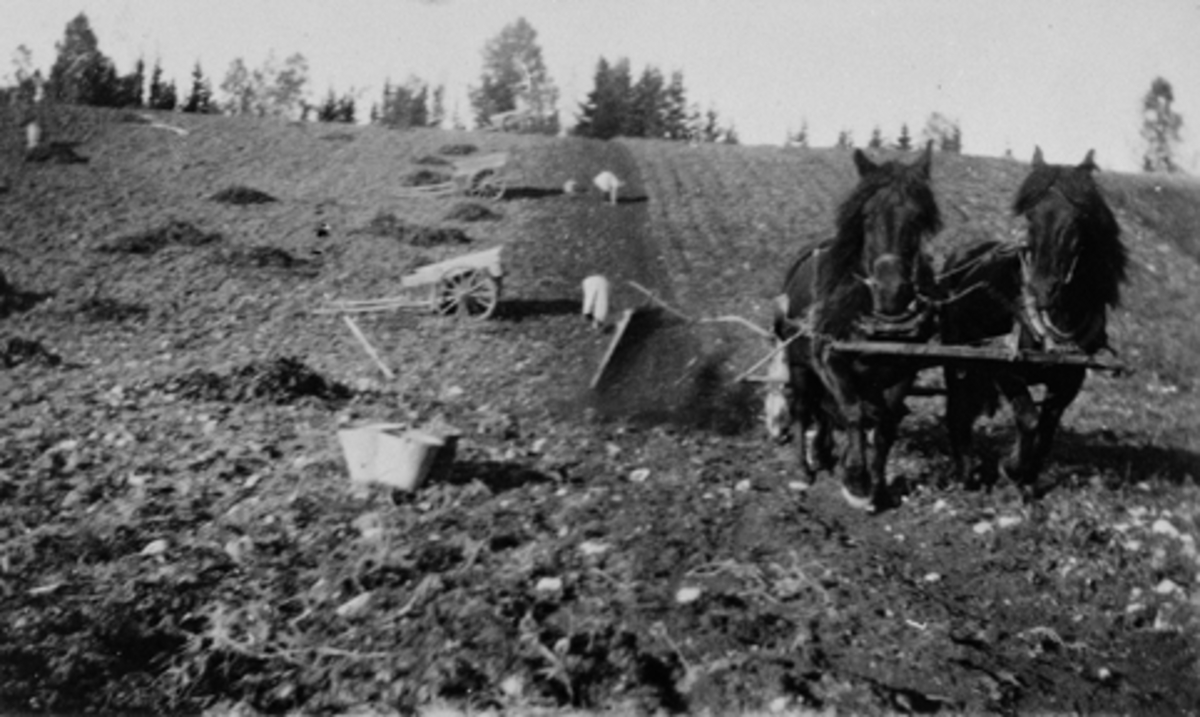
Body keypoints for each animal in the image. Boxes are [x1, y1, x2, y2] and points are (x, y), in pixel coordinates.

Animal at [772, 142, 940, 510]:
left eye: (918, 219)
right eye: (866, 217)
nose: (891, 291)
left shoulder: (904, 370)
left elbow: (885, 422)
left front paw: (879, 485)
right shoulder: (830, 360)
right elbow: (853, 414)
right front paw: (857, 482)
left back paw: (824, 452)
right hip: (800, 363)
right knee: (804, 408)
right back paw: (804, 468)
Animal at [940, 150, 1128, 501]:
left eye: (1078, 218)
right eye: (1030, 217)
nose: (1042, 289)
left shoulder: (1070, 378)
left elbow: (1047, 427)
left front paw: (1027, 476)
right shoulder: (1004, 366)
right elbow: (1028, 420)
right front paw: (1011, 467)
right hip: (957, 355)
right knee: (956, 407)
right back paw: (966, 471)